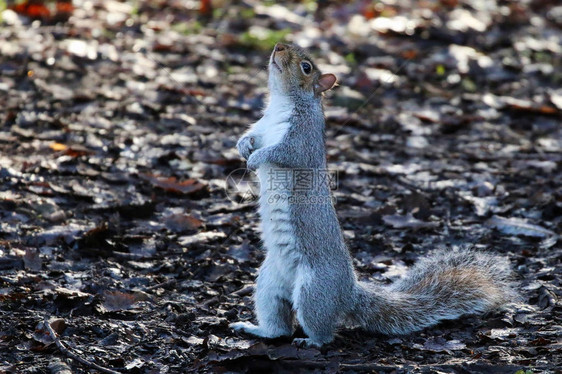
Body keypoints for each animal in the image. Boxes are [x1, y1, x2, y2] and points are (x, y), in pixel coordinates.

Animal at [228, 43, 512, 348]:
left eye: (306, 67)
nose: (279, 46)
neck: (282, 102)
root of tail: (349, 293)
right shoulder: (263, 126)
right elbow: (252, 136)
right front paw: (243, 146)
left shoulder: (302, 139)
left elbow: (284, 154)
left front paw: (256, 158)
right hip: (268, 285)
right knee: (278, 325)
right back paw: (256, 329)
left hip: (314, 290)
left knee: (323, 330)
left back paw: (311, 341)